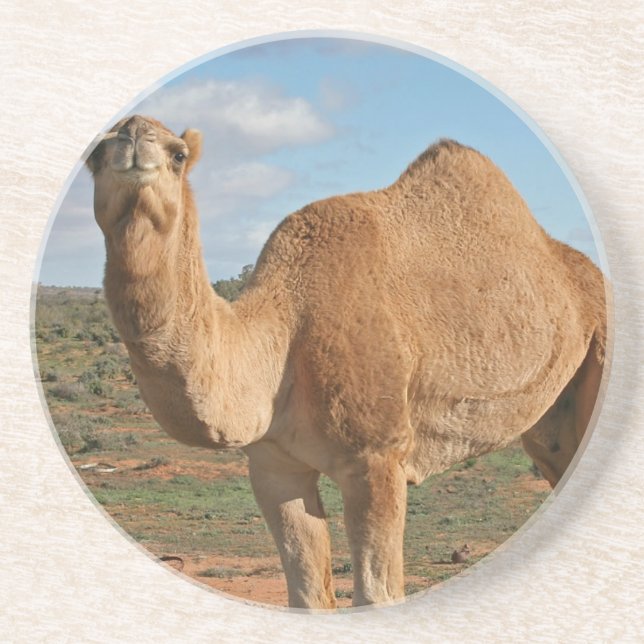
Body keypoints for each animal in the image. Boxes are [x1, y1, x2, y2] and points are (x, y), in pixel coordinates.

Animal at [86, 115, 606, 609]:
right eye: (94, 154)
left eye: (178, 154)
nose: (133, 136)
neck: (282, 334)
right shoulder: (274, 465)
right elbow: (308, 595)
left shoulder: (377, 457)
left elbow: (377, 594)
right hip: (547, 422)